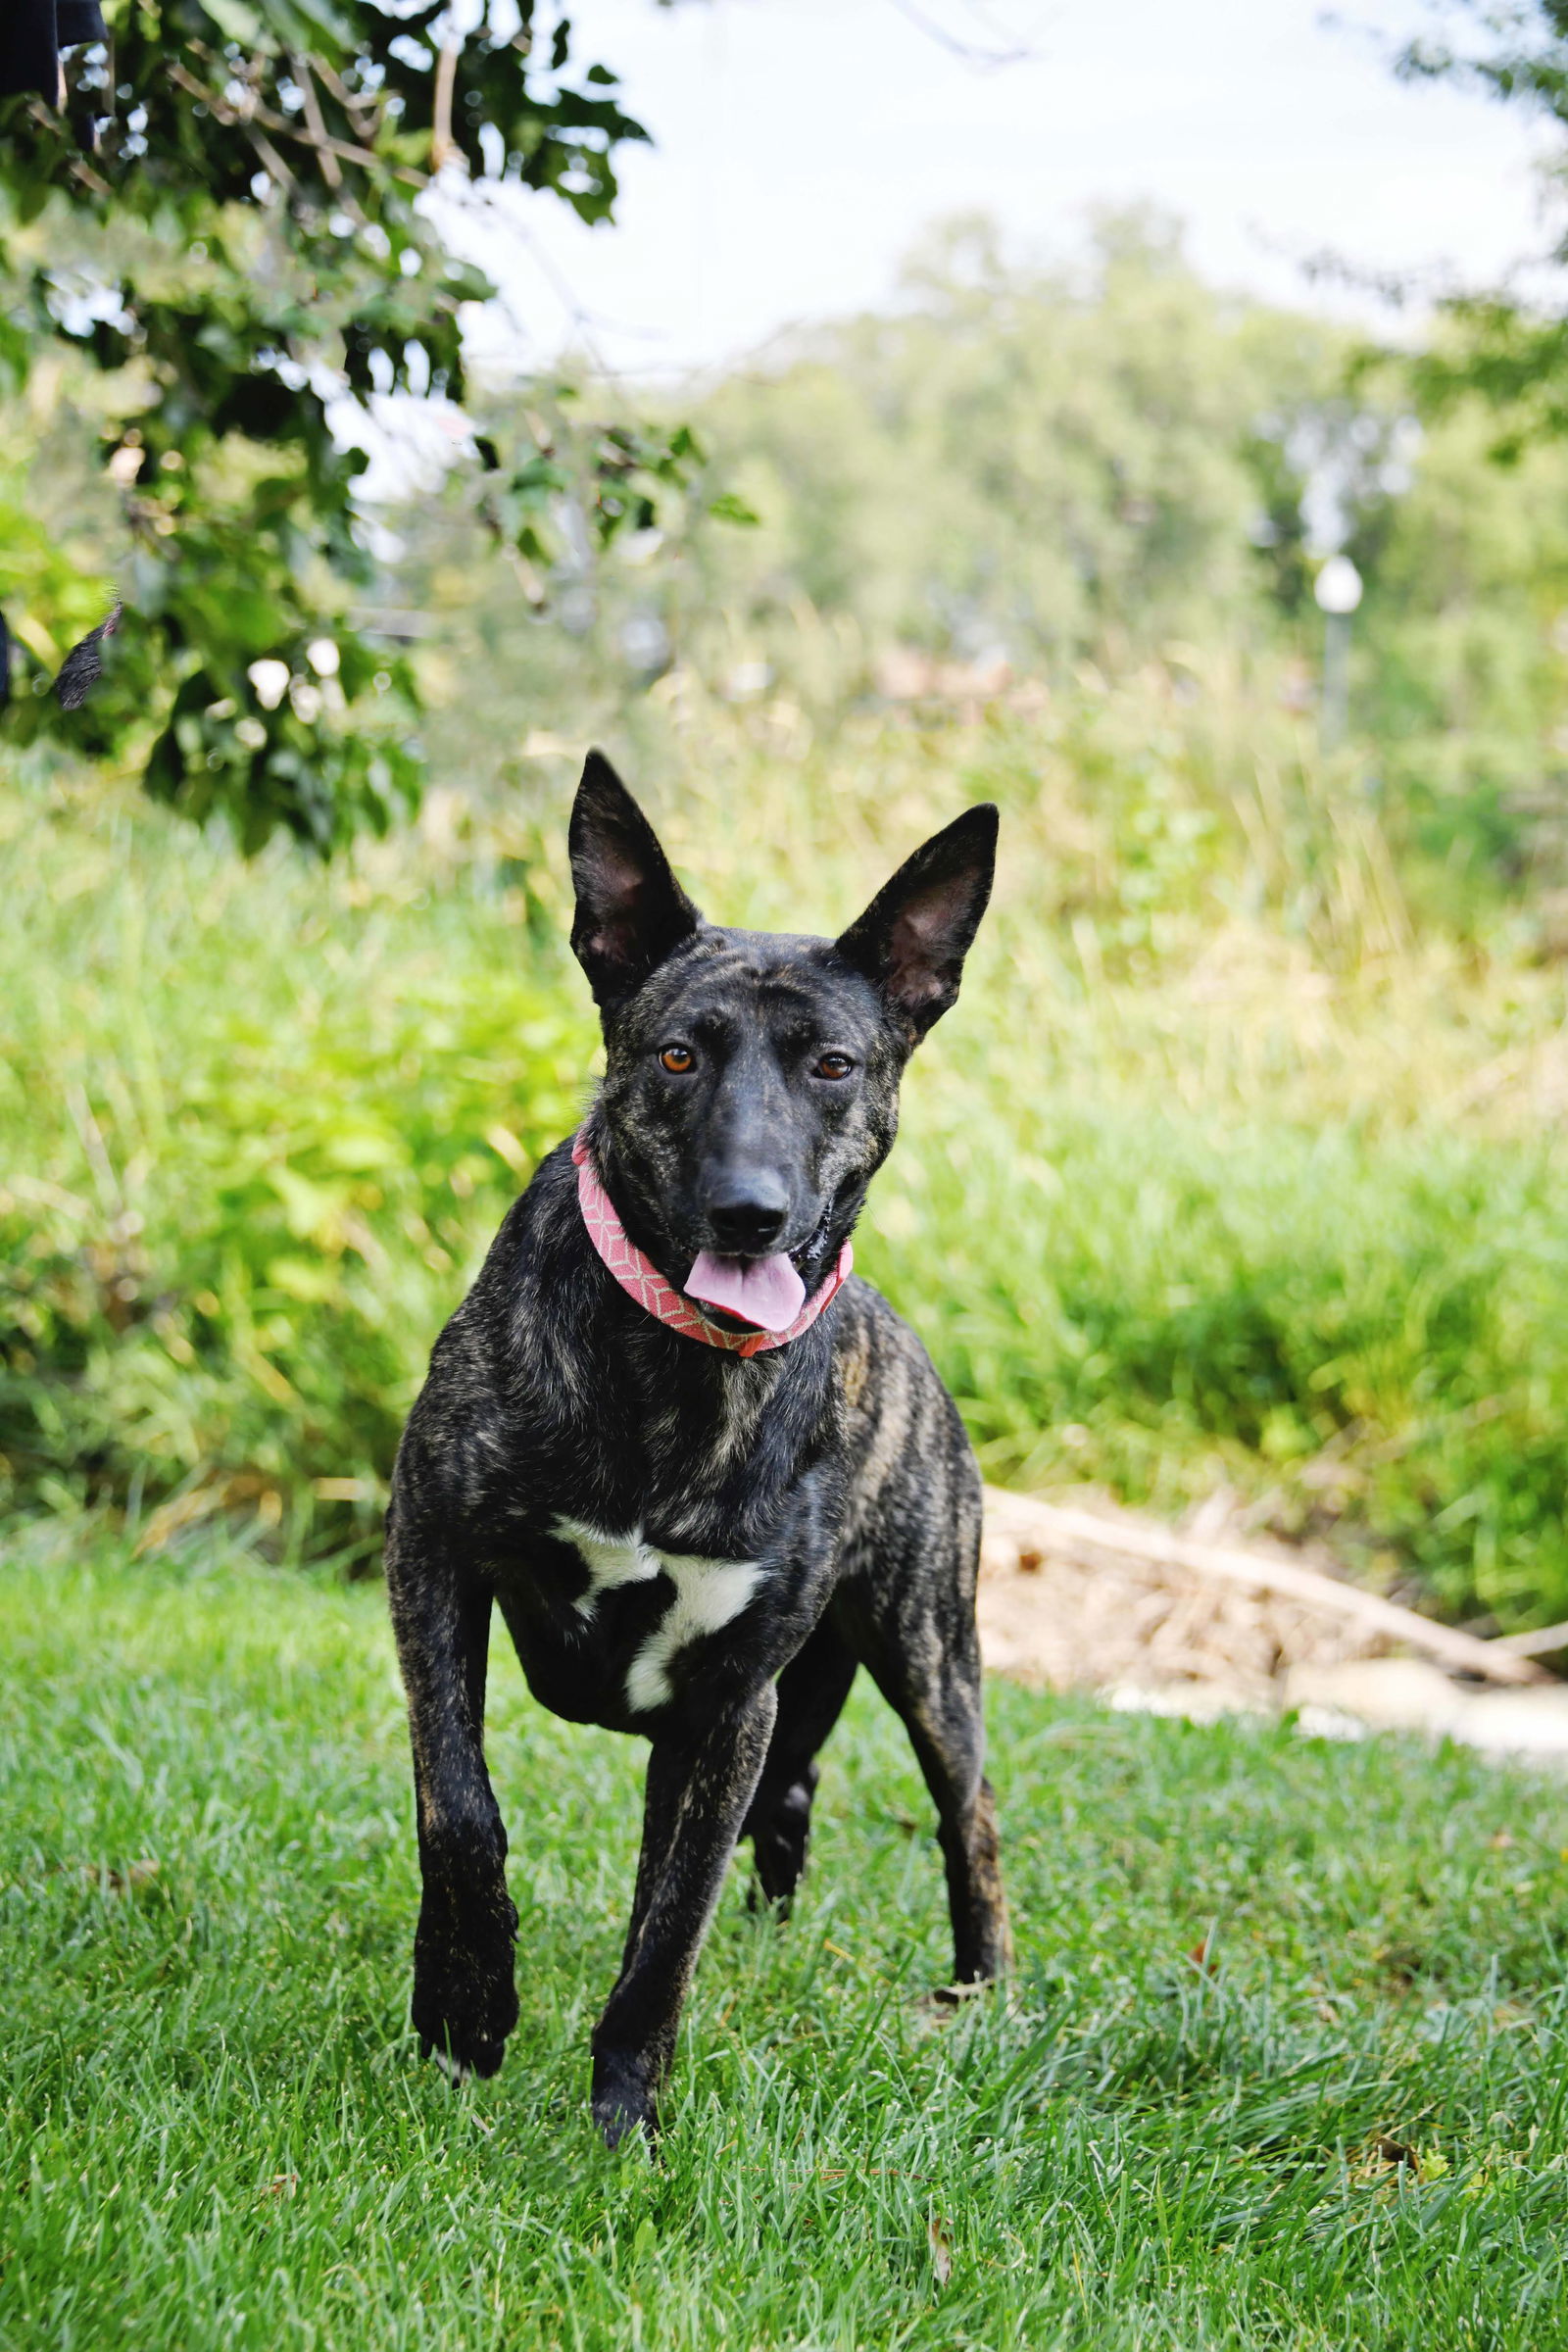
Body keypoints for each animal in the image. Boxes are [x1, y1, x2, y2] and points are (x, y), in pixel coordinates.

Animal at [385, 757, 1010, 2154]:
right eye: (676, 1053)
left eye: (833, 1064)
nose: (750, 1213)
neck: (675, 1367)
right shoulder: (432, 1555)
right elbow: (460, 1812)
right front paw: (467, 2008)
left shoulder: (729, 1698)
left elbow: (668, 1928)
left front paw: (625, 2109)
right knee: (788, 1804)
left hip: (928, 1651)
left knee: (969, 1823)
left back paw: (986, 1994)